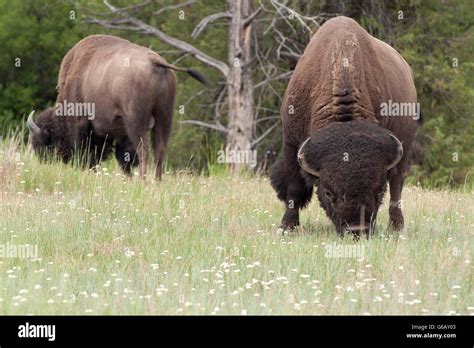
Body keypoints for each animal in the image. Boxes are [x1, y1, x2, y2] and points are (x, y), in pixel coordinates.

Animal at [27, 34, 206, 179]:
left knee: (144, 150)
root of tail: (156, 62)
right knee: (159, 151)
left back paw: (143, 182)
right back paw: (157, 182)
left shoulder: (81, 125)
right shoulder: (119, 133)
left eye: (44, 144)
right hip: (164, 117)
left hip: (136, 123)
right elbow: (122, 157)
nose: (45, 163)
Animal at [270, 14, 422, 235]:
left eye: (379, 191)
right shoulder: (291, 144)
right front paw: (287, 227)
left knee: (397, 184)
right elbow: (294, 187)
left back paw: (397, 227)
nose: (357, 229)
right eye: (328, 192)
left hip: (405, 147)